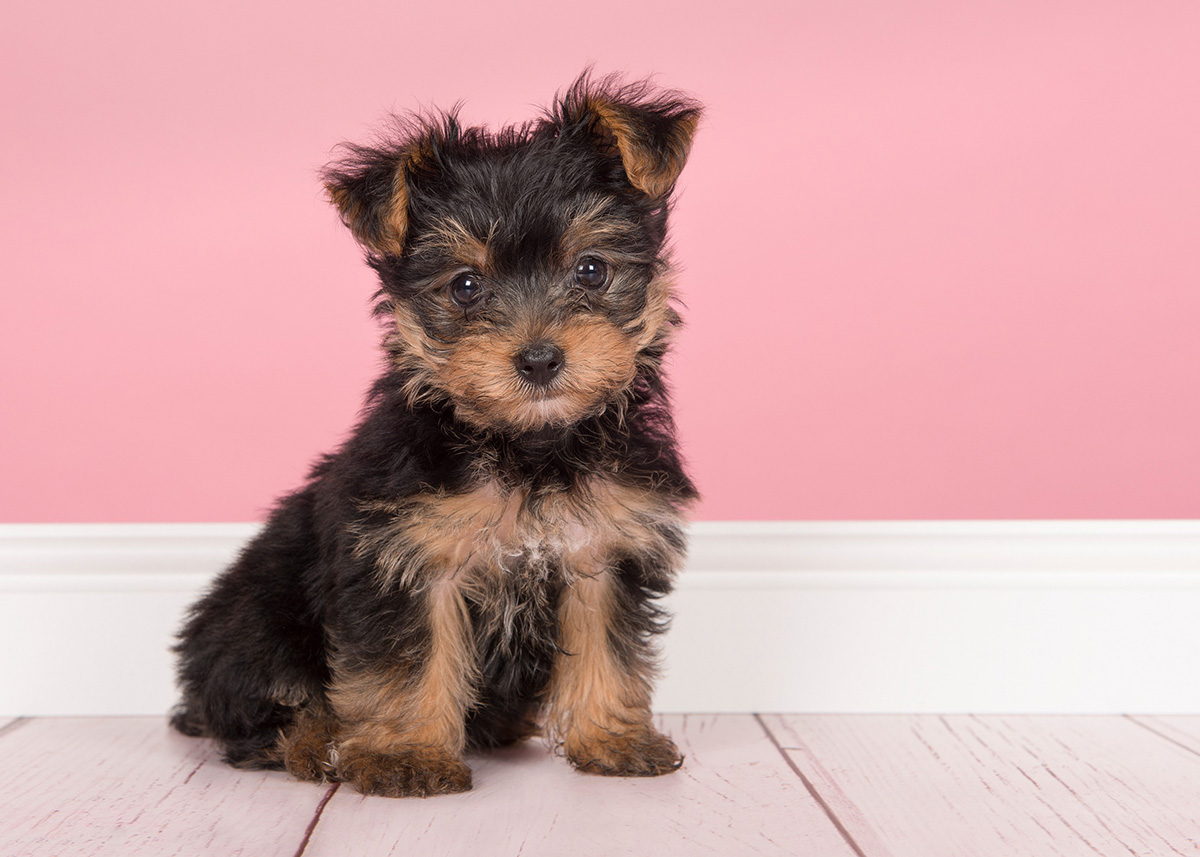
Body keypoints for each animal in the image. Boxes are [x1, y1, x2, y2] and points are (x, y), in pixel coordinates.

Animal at [168, 71, 696, 792]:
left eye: (591, 269)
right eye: (465, 286)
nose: (539, 359)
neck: (527, 447)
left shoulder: (604, 548)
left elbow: (606, 646)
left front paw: (613, 738)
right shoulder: (405, 555)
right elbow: (406, 662)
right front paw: (404, 757)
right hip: (256, 615)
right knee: (263, 705)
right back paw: (317, 744)